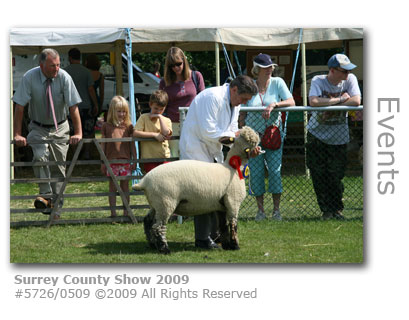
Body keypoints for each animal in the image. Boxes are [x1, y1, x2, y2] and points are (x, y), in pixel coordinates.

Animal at [132, 126, 260, 254]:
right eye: (253, 143)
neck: (232, 168)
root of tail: (144, 181)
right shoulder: (233, 201)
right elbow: (233, 224)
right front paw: (235, 245)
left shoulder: (222, 206)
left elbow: (223, 226)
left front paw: (227, 245)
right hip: (166, 202)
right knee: (158, 226)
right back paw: (164, 249)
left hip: (156, 203)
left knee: (147, 221)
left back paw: (152, 244)